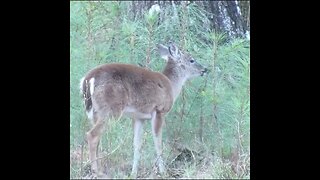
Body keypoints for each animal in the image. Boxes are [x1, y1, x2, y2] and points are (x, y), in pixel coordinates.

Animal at [80, 41, 208, 178]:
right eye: (191, 60)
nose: (205, 69)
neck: (171, 86)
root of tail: (88, 79)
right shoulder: (159, 110)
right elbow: (158, 143)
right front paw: (163, 172)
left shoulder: (138, 117)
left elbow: (137, 144)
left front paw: (133, 173)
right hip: (111, 109)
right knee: (92, 135)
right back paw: (96, 172)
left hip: (95, 112)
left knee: (97, 137)